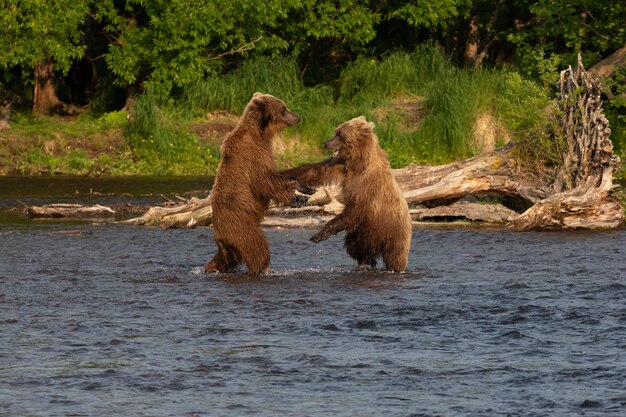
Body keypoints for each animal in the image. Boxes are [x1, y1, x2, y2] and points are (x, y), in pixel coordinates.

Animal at [205, 92, 312, 274]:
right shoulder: (254, 155)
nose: (298, 116)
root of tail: (219, 235)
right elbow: (265, 181)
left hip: (229, 245)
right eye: (283, 109)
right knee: (257, 248)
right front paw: (299, 196)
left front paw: (304, 192)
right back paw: (261, 268)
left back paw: (211, 268)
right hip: (242, 227)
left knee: (224, 259)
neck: (260, 134)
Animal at [282, 115, 410, 272]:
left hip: (393, 234)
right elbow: (315, 170)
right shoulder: (342, 166)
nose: (325, 143)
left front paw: (319, 234)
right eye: (336, 131)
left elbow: (353, 211)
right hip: (362, 234)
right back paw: (368, 261)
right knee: (355, 248)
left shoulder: (366, 186)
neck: (357, 161)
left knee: (394, 257)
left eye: (339, 133)